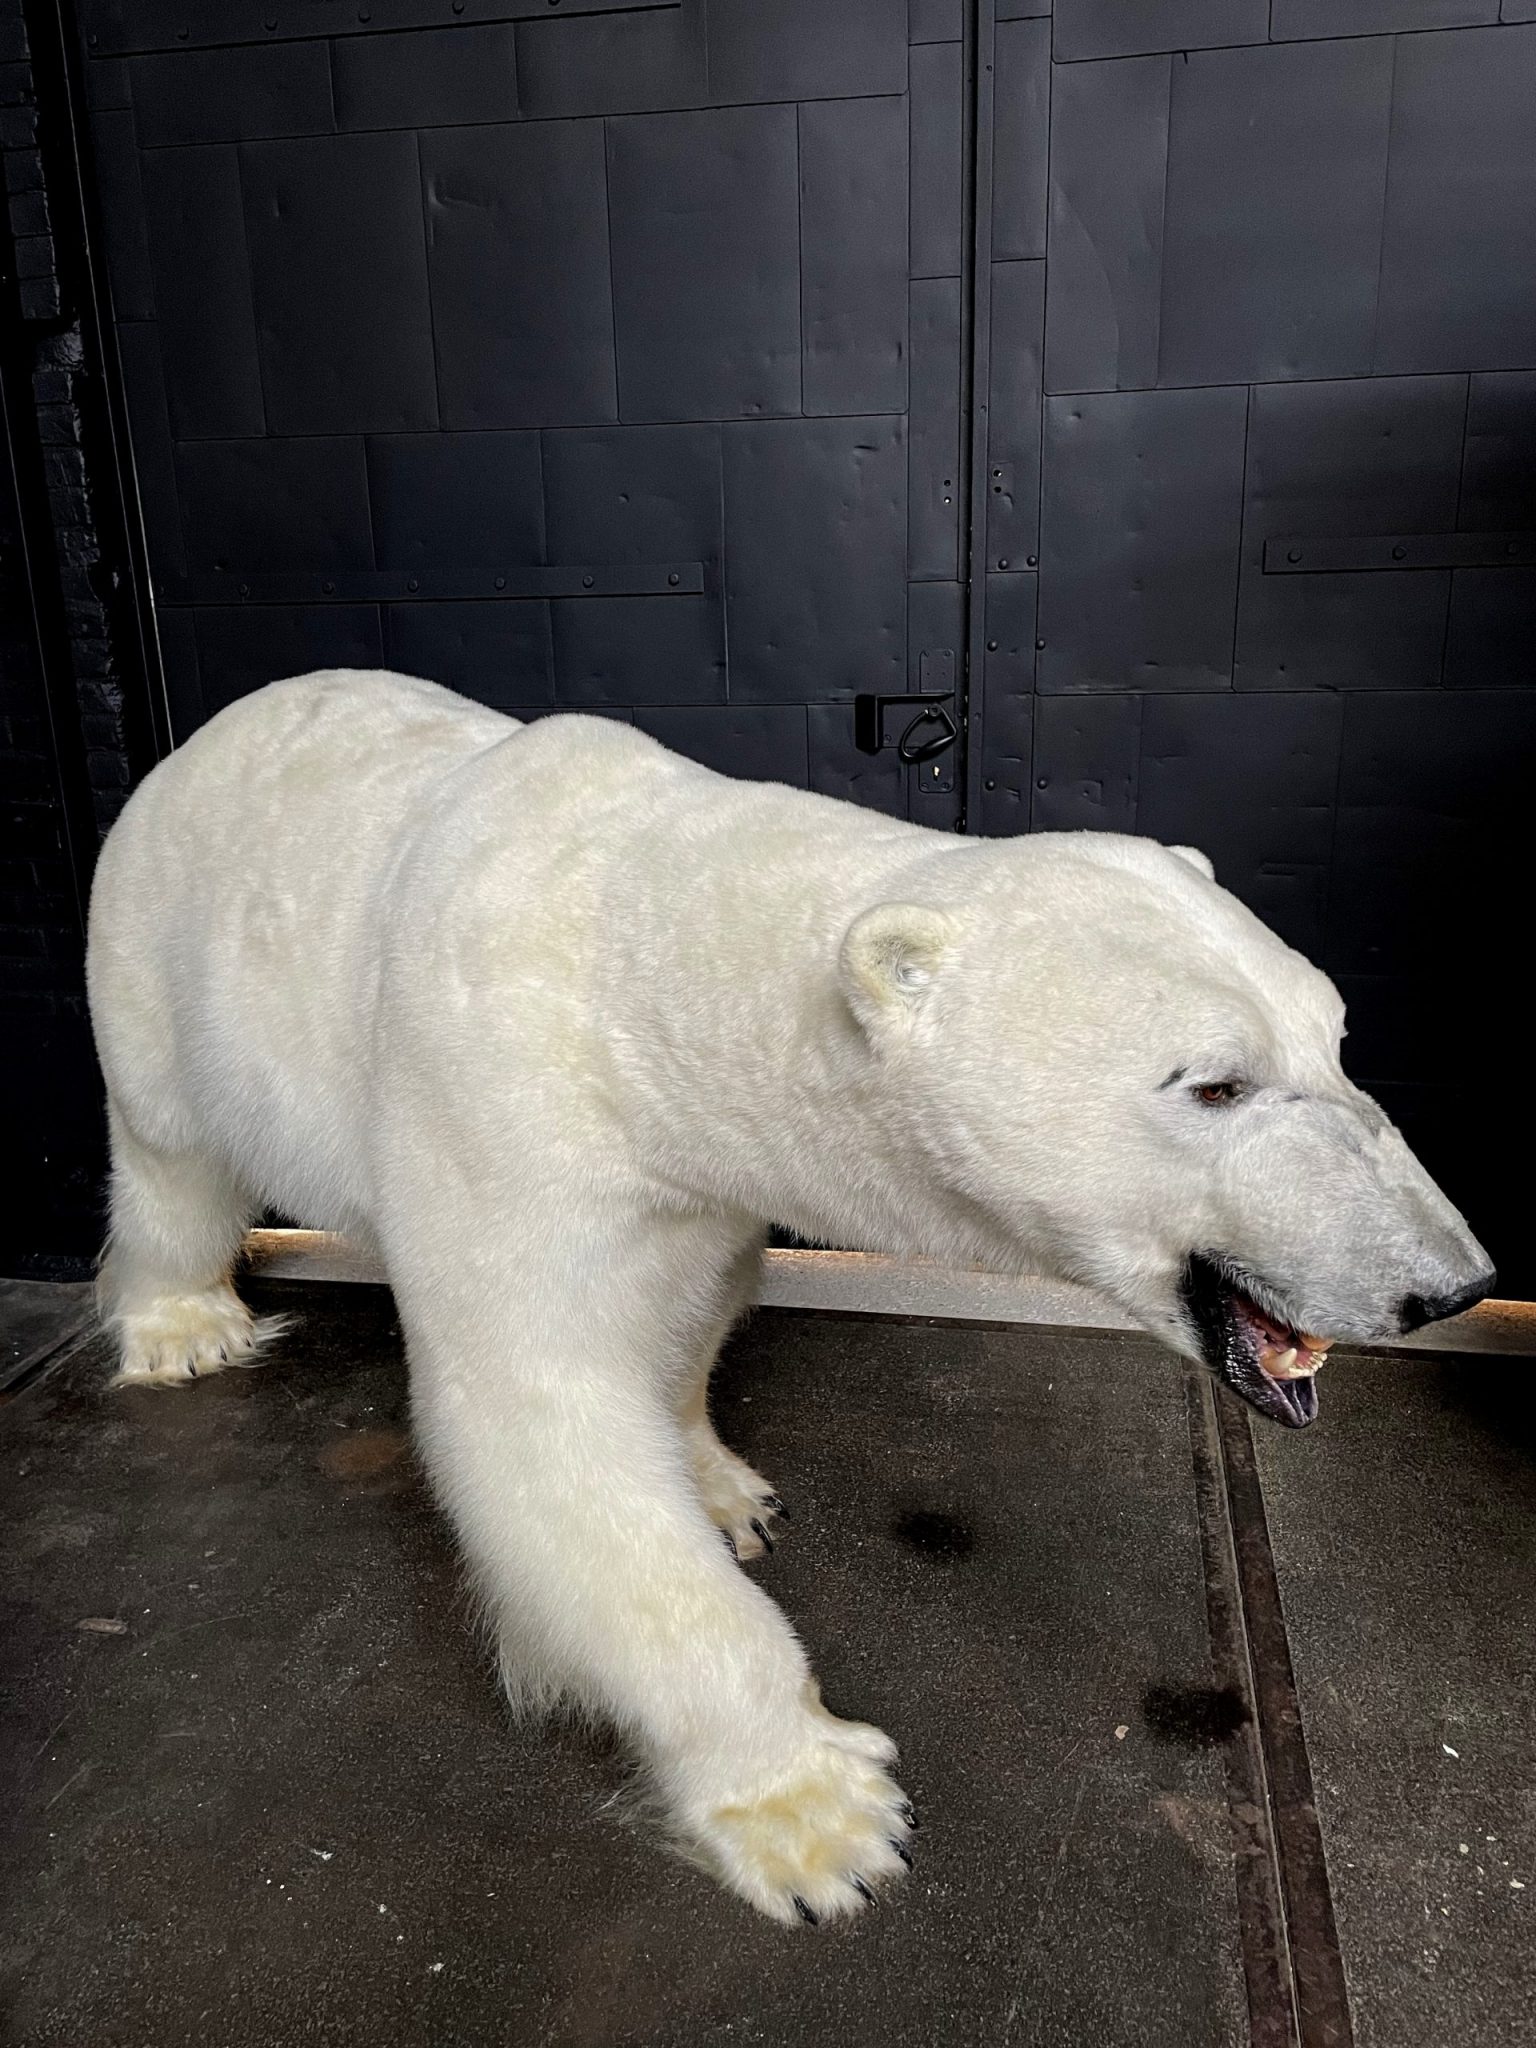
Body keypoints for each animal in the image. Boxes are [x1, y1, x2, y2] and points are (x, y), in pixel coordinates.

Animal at [90, 667, 1499, 1916]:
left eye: (1335, 1036)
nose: (1452, 1284)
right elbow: (541, 1411)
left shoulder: (697, 1174)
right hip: (155, 955)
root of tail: (198, 738)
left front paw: (724, 1490)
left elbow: (695, 1301)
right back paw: (183, 1325)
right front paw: (823, 1814)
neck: (642, 968)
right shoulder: (501, 1101)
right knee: (170, 1153)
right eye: (1214, 1082)